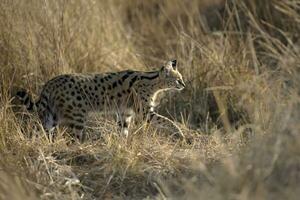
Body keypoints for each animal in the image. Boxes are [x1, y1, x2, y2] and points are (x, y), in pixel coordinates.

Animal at [15, 59, 186, 141]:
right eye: (178, 79)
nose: (184, 85)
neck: (152, 82)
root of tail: (49, 83)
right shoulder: (145, 113)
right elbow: (169, 121)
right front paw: (183, 133)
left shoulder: (125, 113)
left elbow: (123, 131)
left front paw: (122, 146)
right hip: (77, 117)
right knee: (74, 139)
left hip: (52, 117)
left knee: (41, 132)